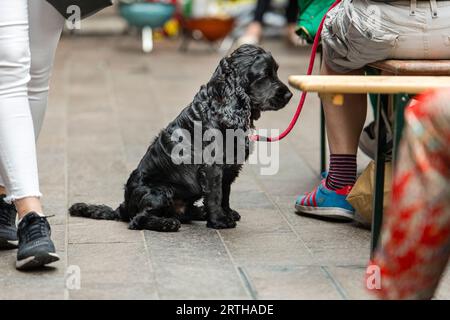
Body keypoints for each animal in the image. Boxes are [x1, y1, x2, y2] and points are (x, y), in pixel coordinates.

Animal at [67, 44, 292, 230]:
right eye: (265, 75)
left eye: (276, 71)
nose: (289, 95)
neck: (220, 107)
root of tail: (124, 206)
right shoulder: (212, 167)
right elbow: (216, 194)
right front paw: (219, 220)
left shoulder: (229, 168)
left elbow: (225, 193)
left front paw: (227, 213)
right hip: (160, 191)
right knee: (138, 220)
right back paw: (167, 223)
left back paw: (198, 212)